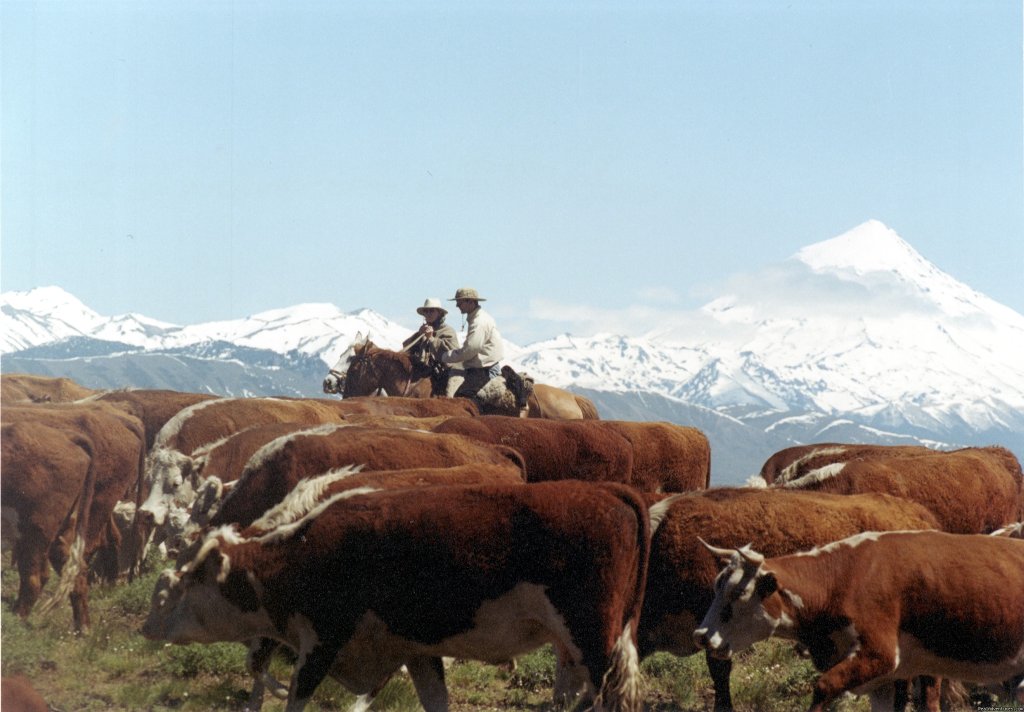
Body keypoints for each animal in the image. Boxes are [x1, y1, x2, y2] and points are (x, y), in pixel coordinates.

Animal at [143, 481, 647, 712]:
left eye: (187, 579)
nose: (147, 626)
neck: (301, 553)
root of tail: (607, 490)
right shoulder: (415, 651)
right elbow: (435, 700)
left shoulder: (323, 641)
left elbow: (297, 699)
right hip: (582, 648)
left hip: (593, 642)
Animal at [692, 532, 1024, 708]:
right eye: (716, 586)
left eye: (739, 592)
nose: (702, 635)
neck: (844, 578)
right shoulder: (885, 680)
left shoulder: (880, 653)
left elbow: (823, 687)